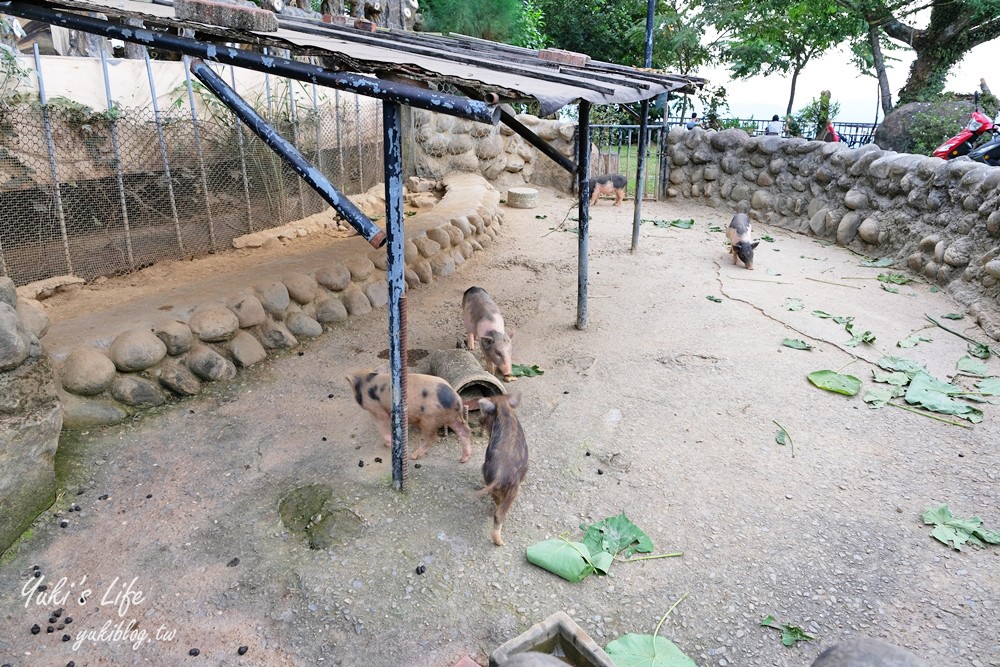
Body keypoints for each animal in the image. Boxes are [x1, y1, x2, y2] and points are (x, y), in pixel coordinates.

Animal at [344, 370, 472, 464]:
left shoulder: (378, 411)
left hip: (429, 419)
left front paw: (388, 444)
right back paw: (463, 459)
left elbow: (383, 428)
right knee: (465, 430)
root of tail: (457, 400)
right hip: (452, 418)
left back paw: (413, 456)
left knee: (433, 438)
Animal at [478, 392, 532, 548]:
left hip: (489, 479)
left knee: (496, 502)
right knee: (499, 514)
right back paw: (501, 542)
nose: (479, 420)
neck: (505, 411)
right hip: (513, 490)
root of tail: (499, 476)